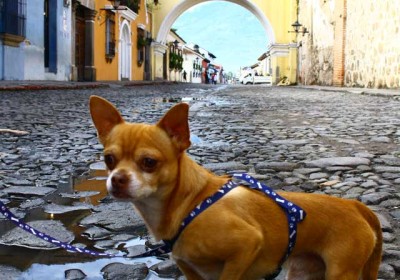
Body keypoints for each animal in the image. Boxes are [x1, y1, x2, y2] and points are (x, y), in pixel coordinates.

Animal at [90, 96, 382, 280]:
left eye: (149, 162)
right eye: (109, 160)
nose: (117, 179)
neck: (189, 204)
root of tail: (355, 205)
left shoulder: (246, 245)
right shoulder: (191, 271)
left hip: (339, 272)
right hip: (303, 272)